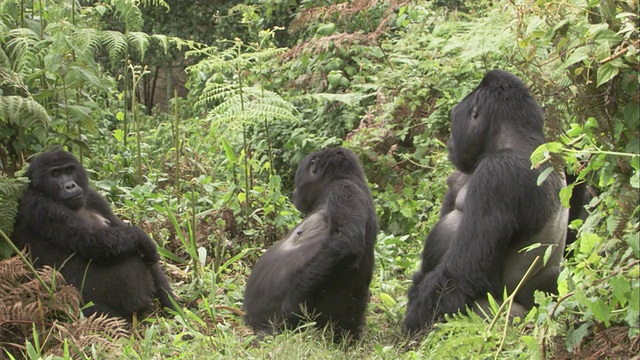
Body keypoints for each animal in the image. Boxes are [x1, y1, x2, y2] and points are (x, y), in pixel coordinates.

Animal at [11, 150, 178, 320]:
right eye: (55, 174)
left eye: (70, 170)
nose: (70, 185)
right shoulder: (39, 205)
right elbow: (96, 243)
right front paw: (144, 240)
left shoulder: (94, 197)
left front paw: (171, 303)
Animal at [402, 70, 568, 332]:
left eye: (454, 119)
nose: (450, 142)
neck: (520, 140)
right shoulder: (461, 175)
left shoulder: (496, 175)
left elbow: (462, 273)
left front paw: (413, 321)